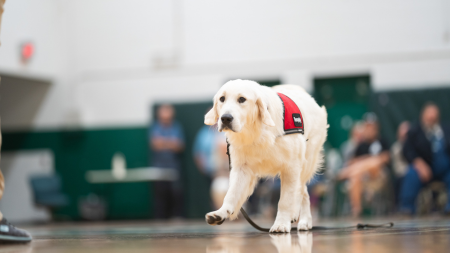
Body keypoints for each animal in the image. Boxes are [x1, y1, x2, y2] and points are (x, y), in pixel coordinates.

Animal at [204, 80, 326, 232]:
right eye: (222, 99)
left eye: (242, 99)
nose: (226, 118)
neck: (255, 130)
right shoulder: (241, 168)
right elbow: (231, 194)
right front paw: (221, 213)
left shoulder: (291, 167)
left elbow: (285, 200)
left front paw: (281, 223)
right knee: (303, 191)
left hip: (307, 161)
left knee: (301, 189)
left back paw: (301, 218)